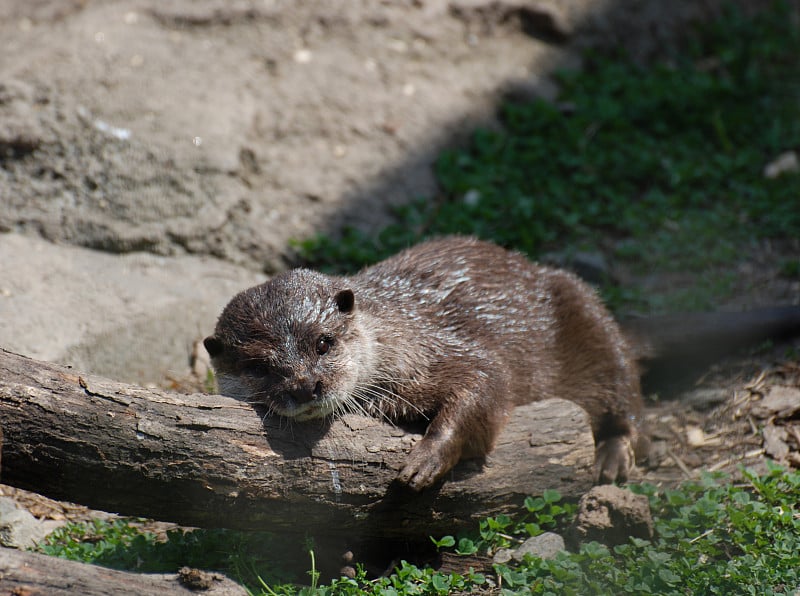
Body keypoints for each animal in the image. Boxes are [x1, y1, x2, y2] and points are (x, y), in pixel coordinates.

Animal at [206, 236, 644, 488]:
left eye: (323, 343)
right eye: (259, 368)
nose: (305, 385)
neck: (396, 334)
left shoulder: (442, 350)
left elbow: (487, 380)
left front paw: (427, 458)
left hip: (584, 310)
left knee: (621, 389)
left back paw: (613, 457)